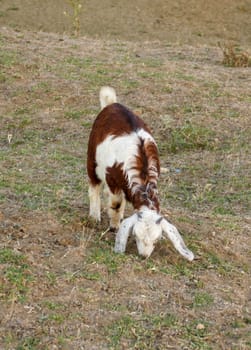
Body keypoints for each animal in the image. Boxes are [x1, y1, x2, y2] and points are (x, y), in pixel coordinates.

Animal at [87, 87, 194, 262]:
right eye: (136, 236)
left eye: (156, 240)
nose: (144, 256)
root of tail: (112, 104)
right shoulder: (112, 178)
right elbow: (116, 203)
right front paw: (114, 225)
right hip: (92, 158)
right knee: (94, 186)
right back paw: (94, 216)